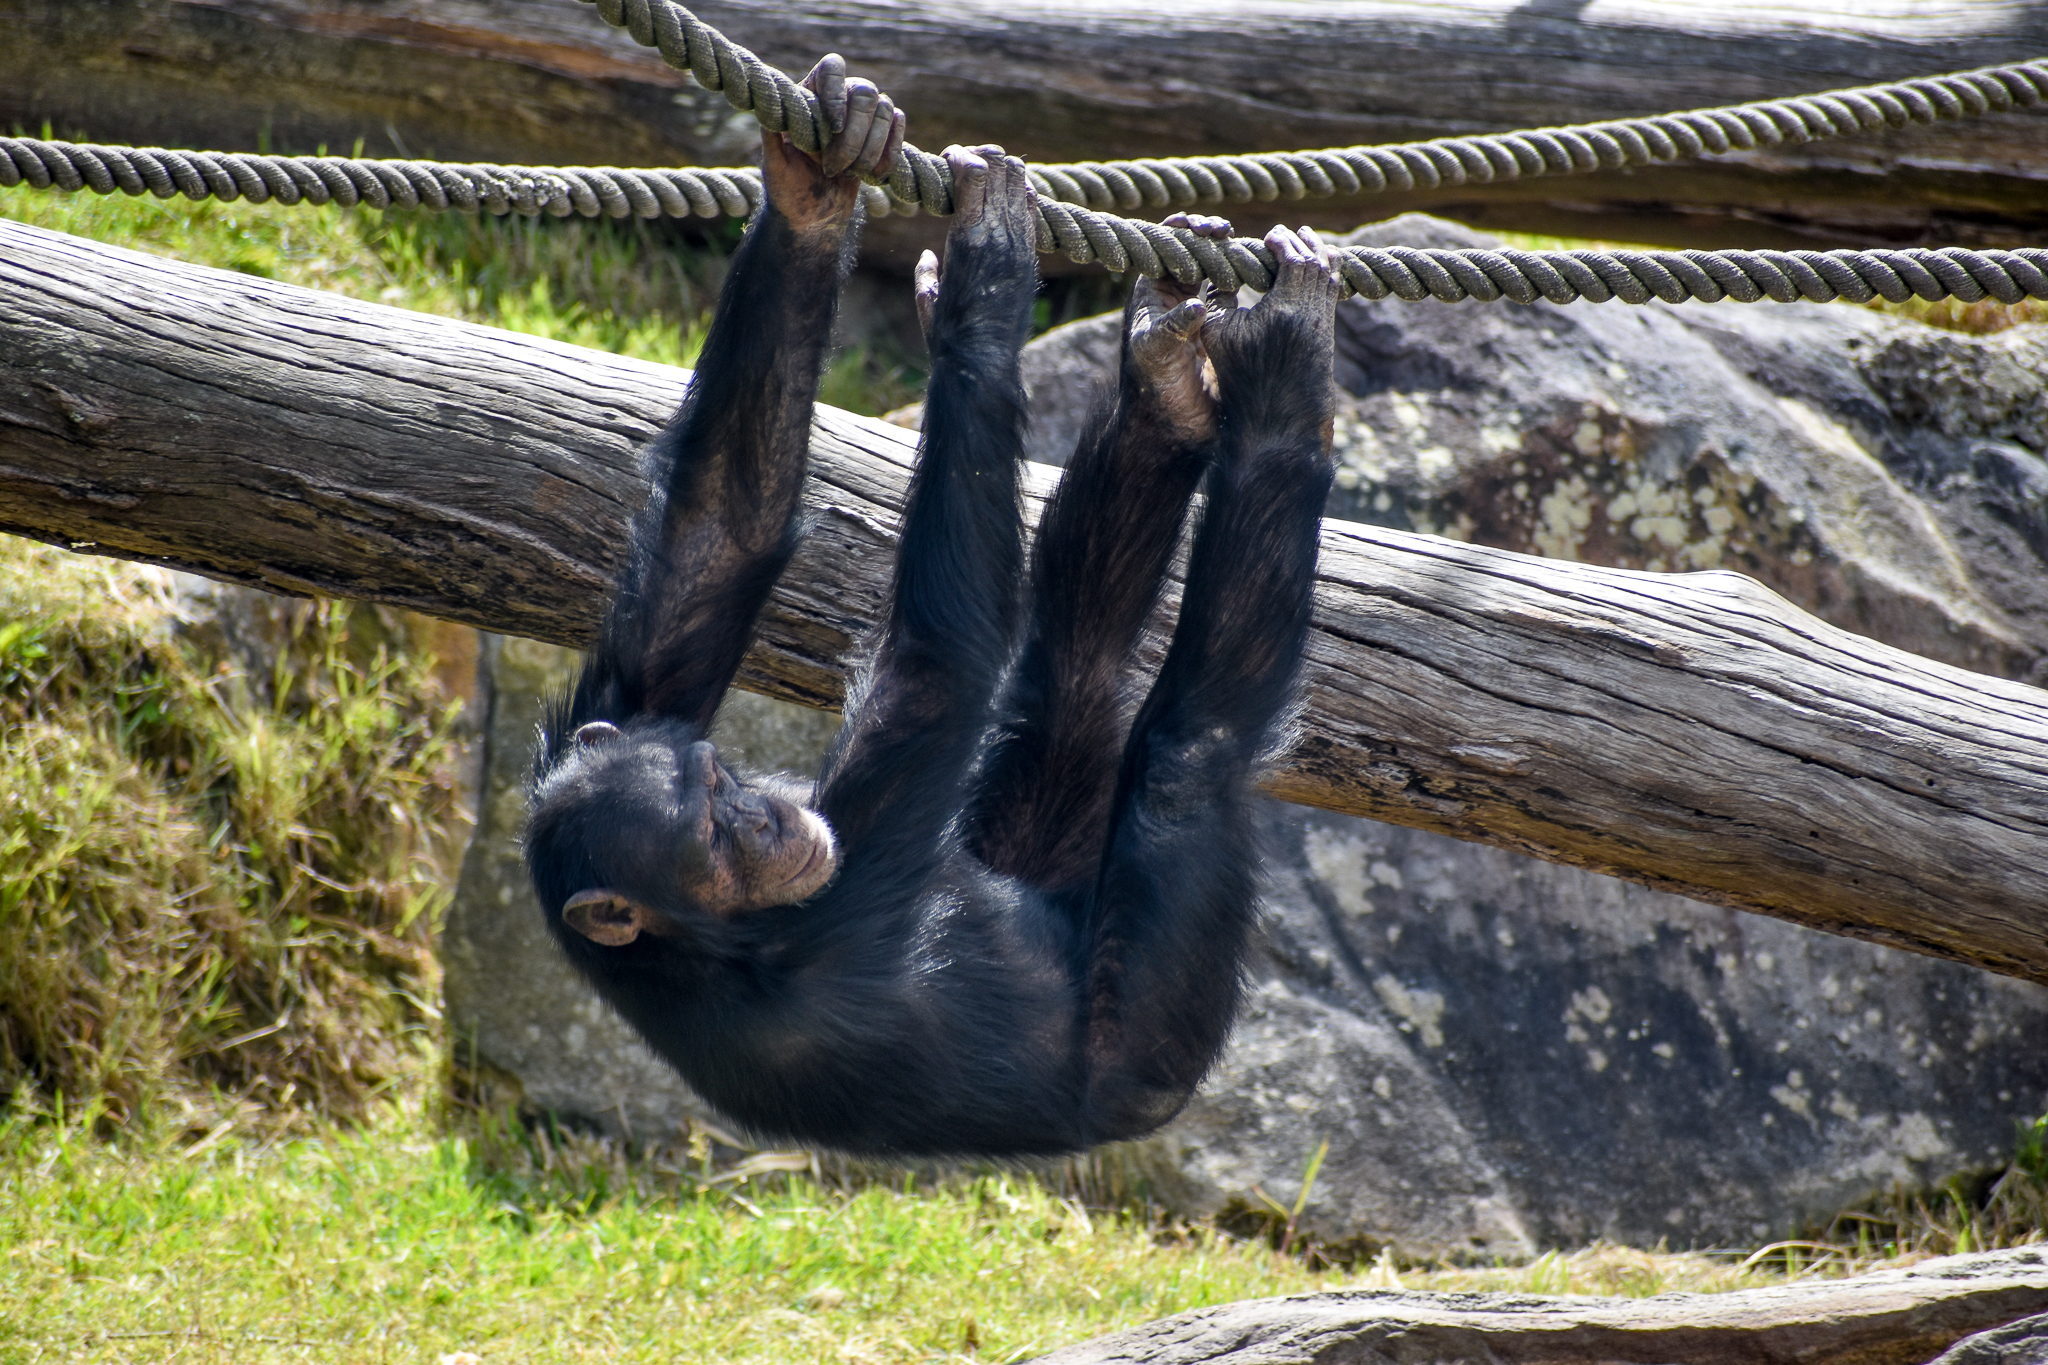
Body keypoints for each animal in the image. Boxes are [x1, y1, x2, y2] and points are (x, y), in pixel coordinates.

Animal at [525, 54, 1343, 1157]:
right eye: (710, 838)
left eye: (716, 779)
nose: (765, 818)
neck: (705, 941)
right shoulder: (842, 909)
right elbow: (941, 660)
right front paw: (980, 277)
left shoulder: (619, 699)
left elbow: (725, 520)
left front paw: (818, 182)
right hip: (1158, 1028)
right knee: (1193, 745)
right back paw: (1284, 381)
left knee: (1076, 657)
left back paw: (1163, 374)